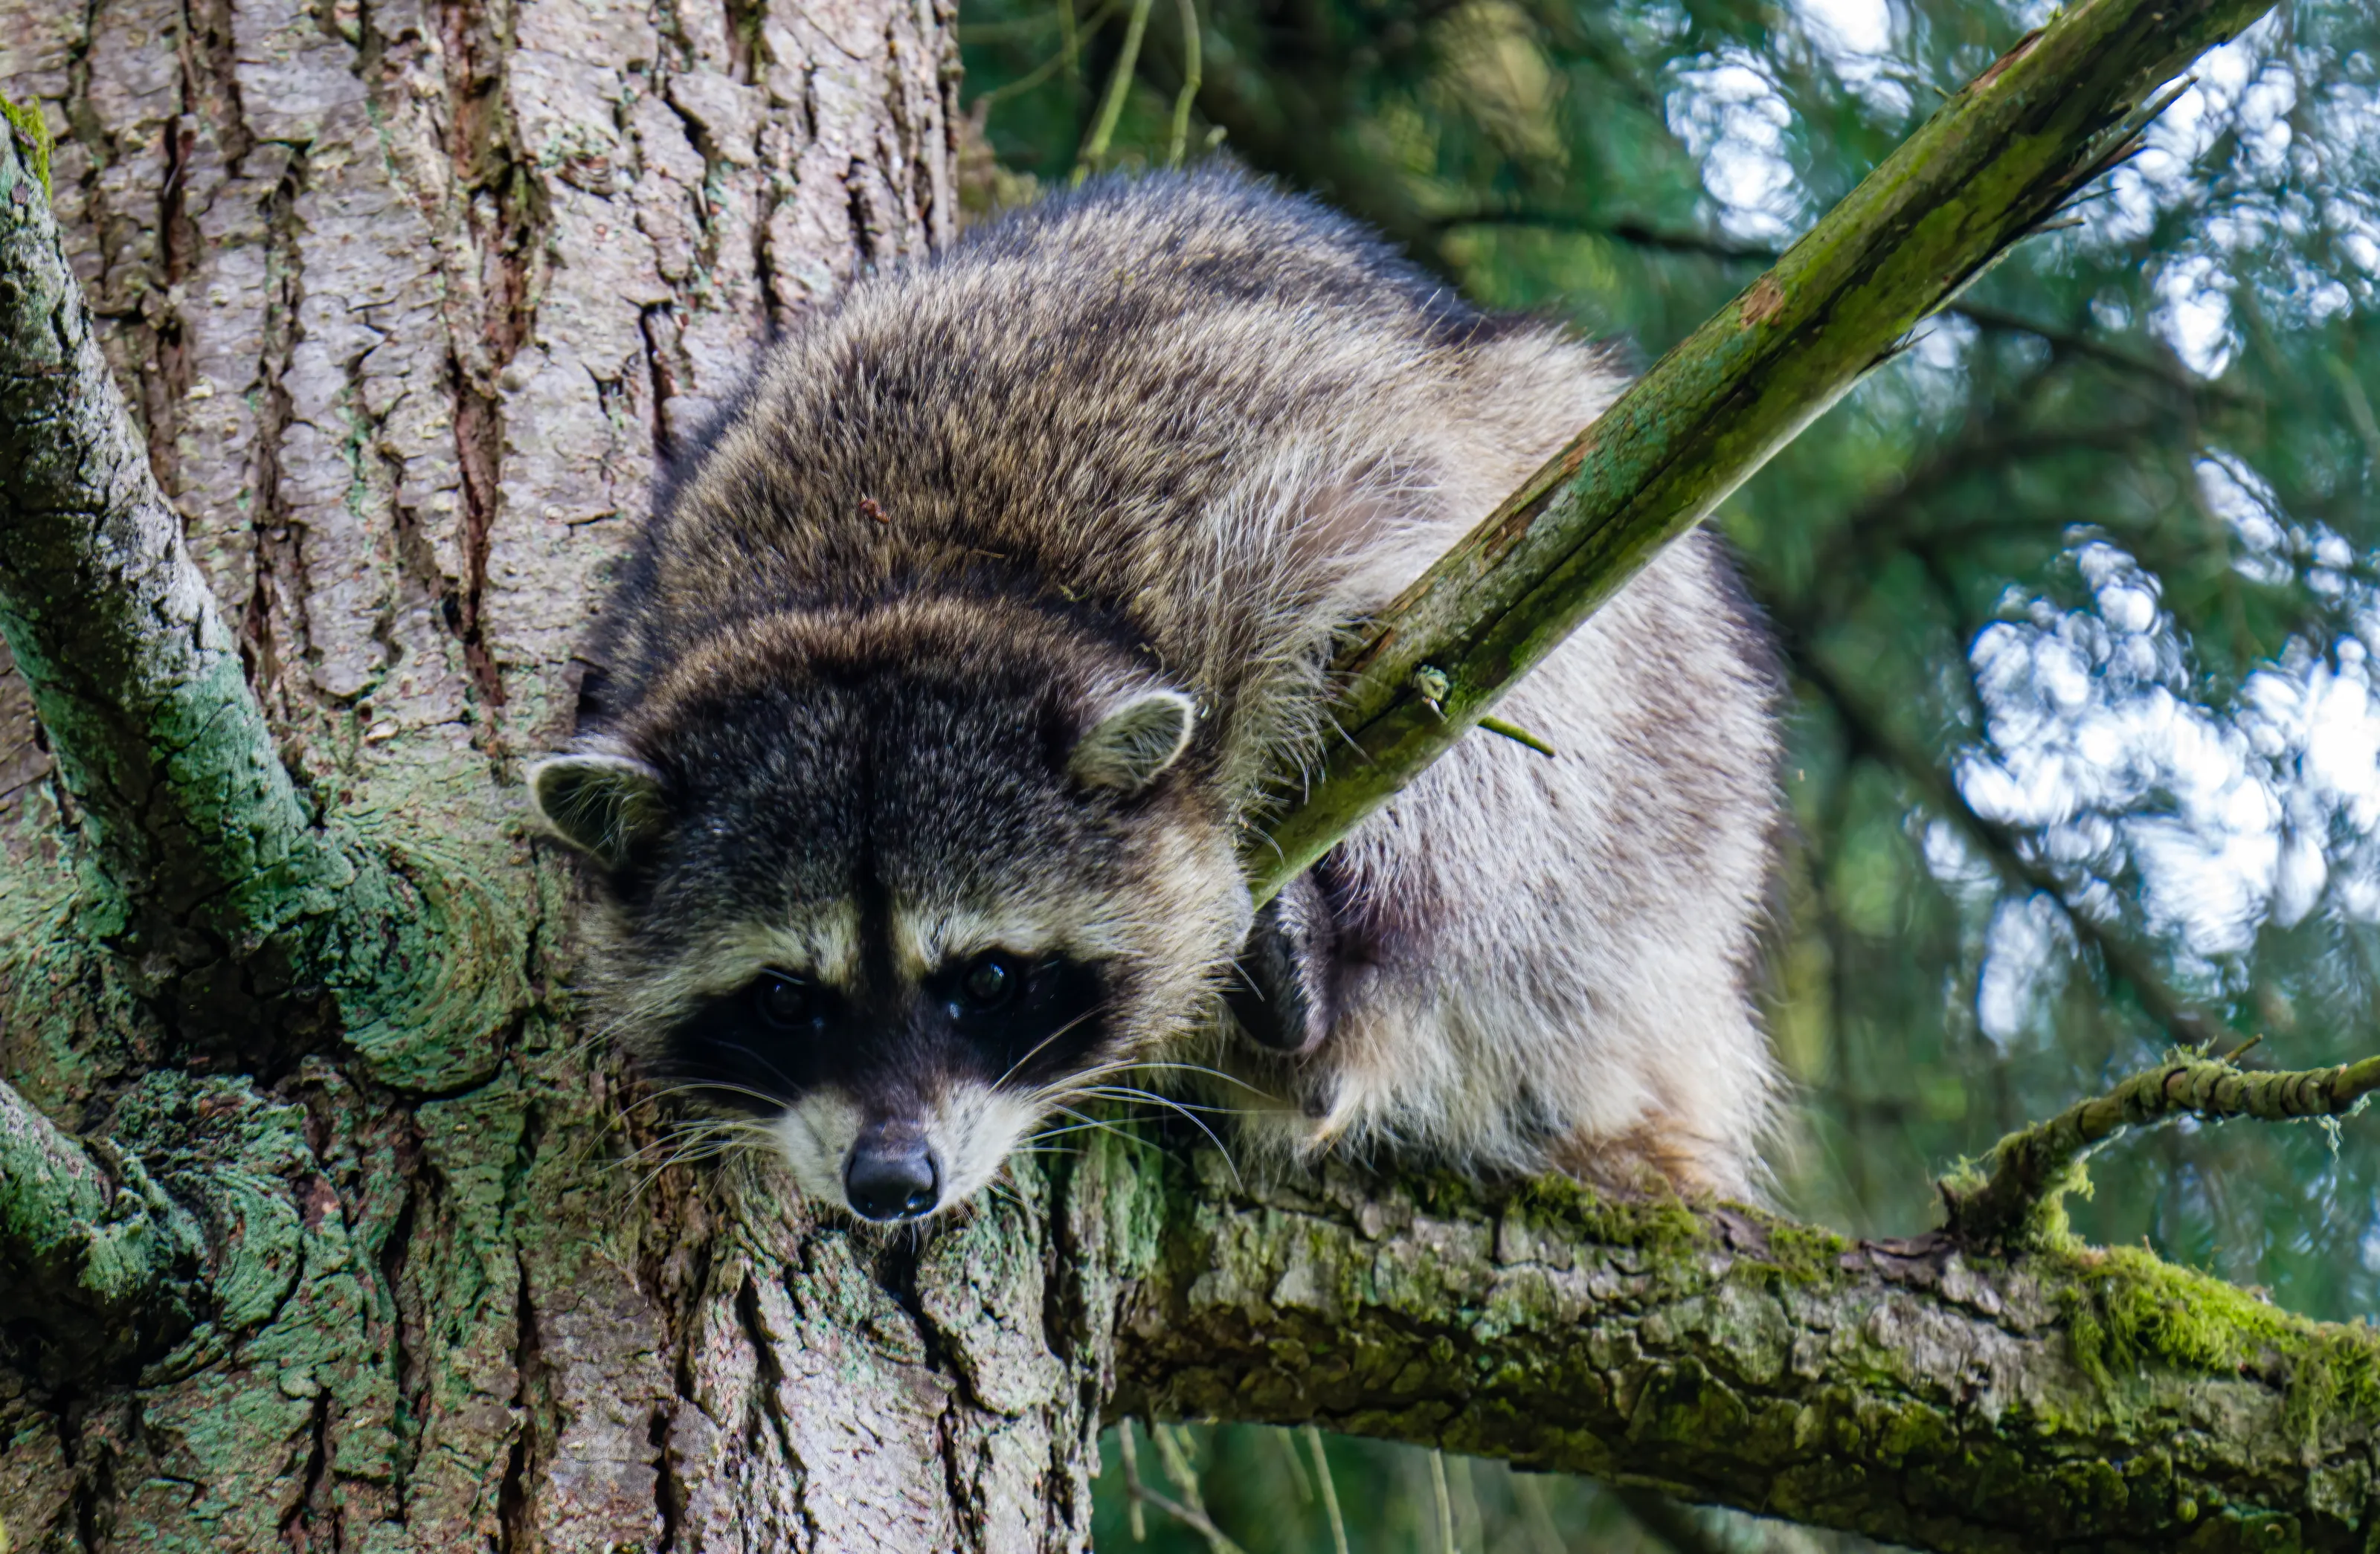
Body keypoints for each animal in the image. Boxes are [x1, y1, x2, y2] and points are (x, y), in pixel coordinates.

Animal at [529, 169, 1781, 1222]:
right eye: (786, 997)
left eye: (989, 977)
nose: (892, 1181)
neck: (887, 595)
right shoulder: (667, 589)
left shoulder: (1292, 503)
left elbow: (1470, 688)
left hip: (1672, 727)